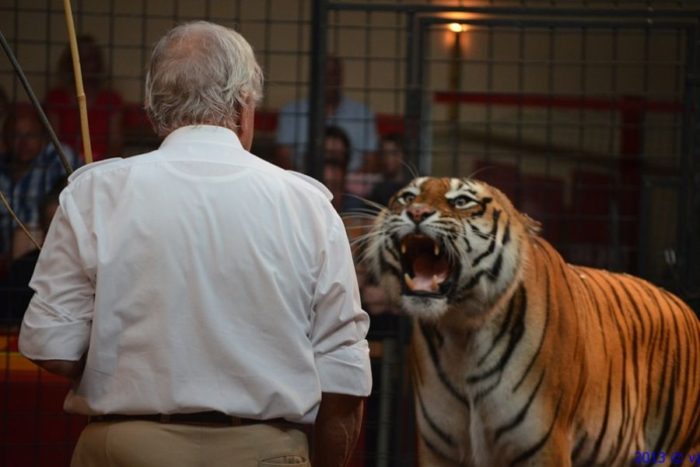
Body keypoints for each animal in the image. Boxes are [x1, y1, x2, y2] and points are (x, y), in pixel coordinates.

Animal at [360, 176, 700, 467]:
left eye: (461, 201)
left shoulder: (543, 444)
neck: (461, 333)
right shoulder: (440, 449)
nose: (416, 212)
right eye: (408, 196)